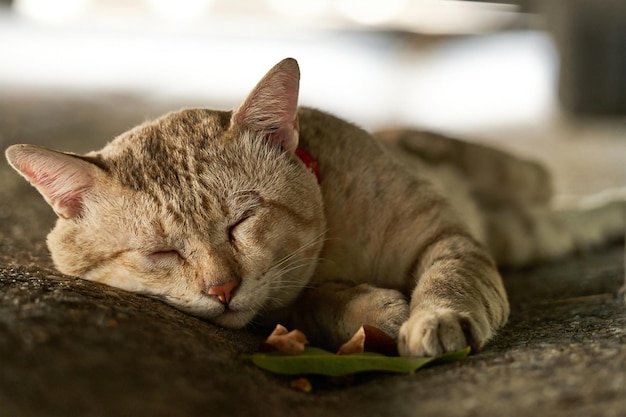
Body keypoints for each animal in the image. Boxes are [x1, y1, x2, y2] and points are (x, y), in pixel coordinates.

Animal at [3, 58, 620, 356]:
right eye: (161, 252)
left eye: (242, 220)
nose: (221, 290)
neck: (331, 243)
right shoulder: (283, 313)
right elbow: (314, 304)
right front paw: (377, 309)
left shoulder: (445, 237)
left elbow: (452, 280)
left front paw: (437, 318)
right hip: (523, 230)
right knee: (560, 225)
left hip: (519, 184)